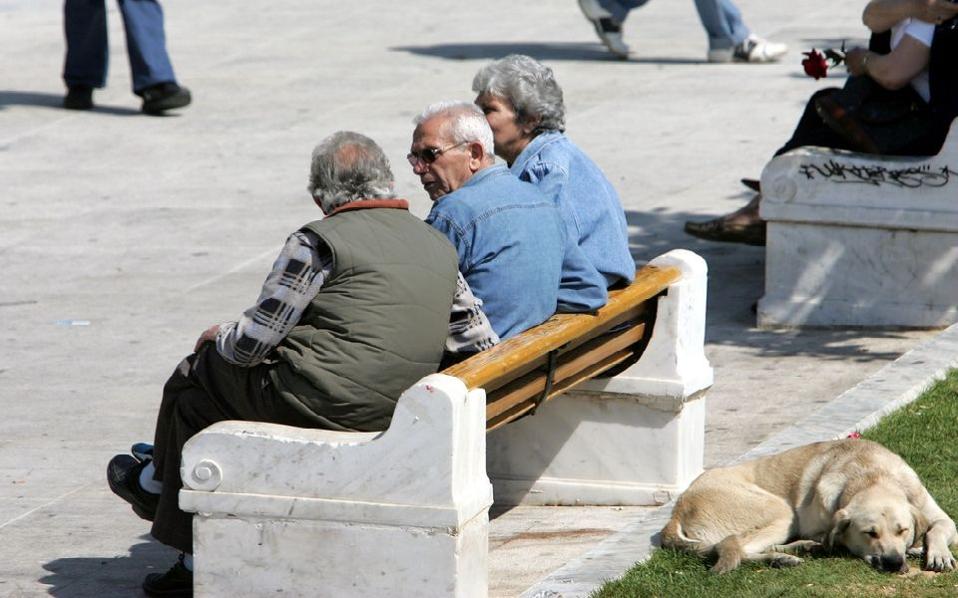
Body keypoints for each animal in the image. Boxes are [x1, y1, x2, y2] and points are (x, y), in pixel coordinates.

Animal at [664, 440, 956, 576]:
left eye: (902, 530)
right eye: (869, 533)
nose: (894, 563)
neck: (870, 475)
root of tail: (678, 508)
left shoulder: (940, 517)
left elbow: (938, 528)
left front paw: (936, 553)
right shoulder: (824, 527)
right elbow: (835, 538)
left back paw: (793, 551)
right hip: (782, 512)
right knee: (733, 545)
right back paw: (783, 557)